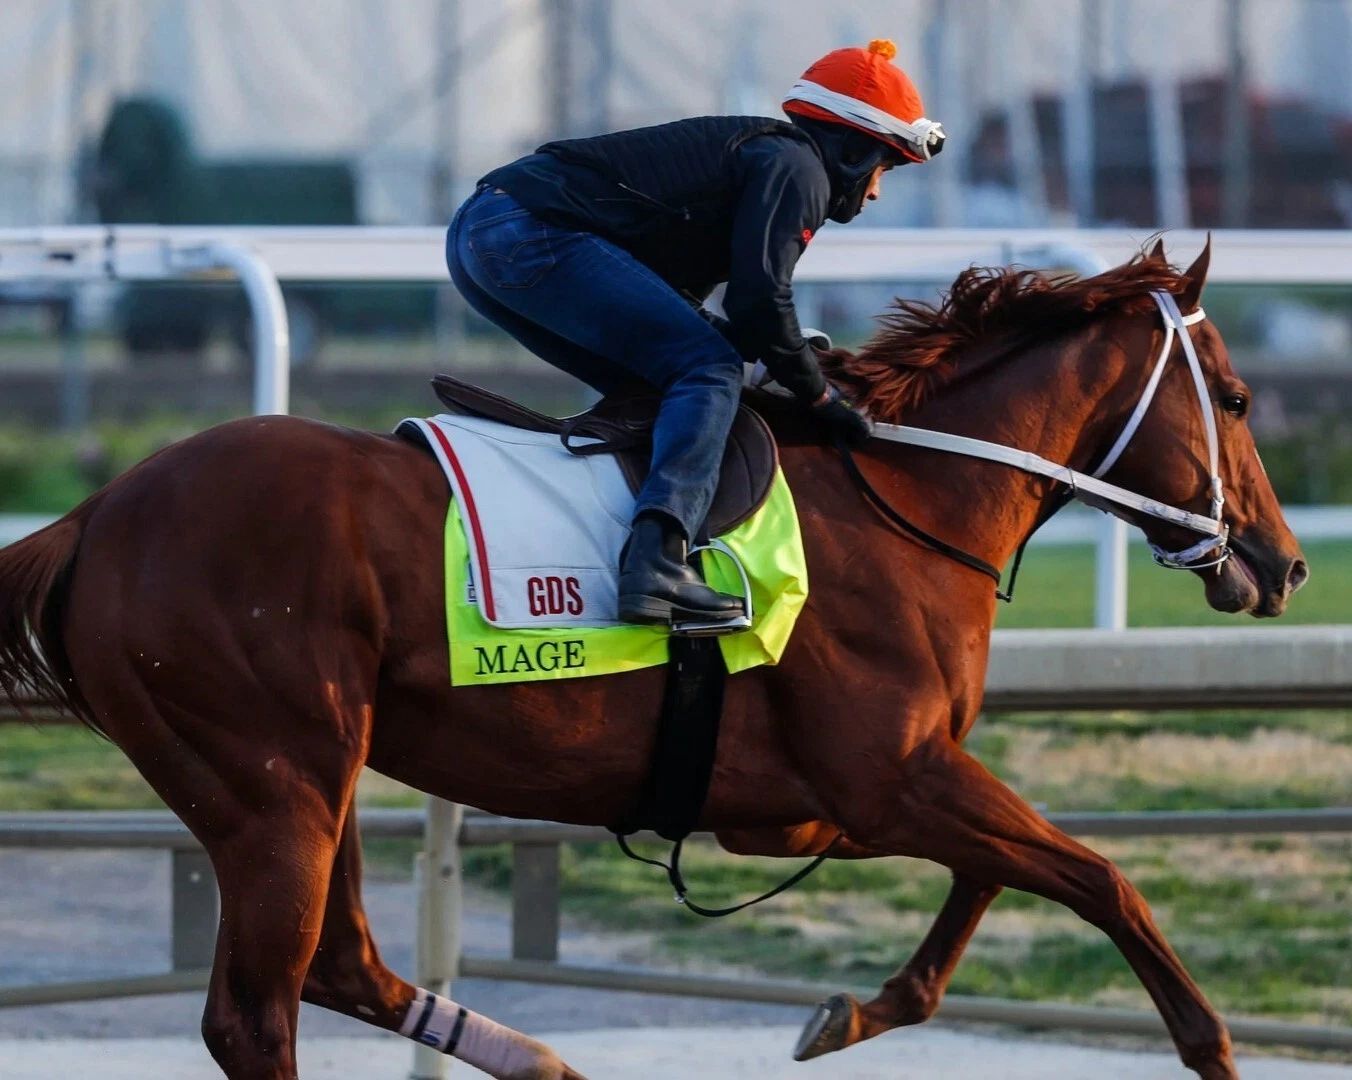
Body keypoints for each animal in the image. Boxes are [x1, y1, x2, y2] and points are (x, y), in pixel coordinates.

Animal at [0, 239, 1306, 1080]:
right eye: (1239, 399)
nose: (1283, 564)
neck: (904, 493)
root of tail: (94, 515)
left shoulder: (826, 802)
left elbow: (995, 881)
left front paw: (849, 1011)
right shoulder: (888, 778)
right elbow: (1100, 880)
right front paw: (1210, 1046)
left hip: (315, 781)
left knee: (343, 969)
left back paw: (538, 1060)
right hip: (274, 786)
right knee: (258, 1019)